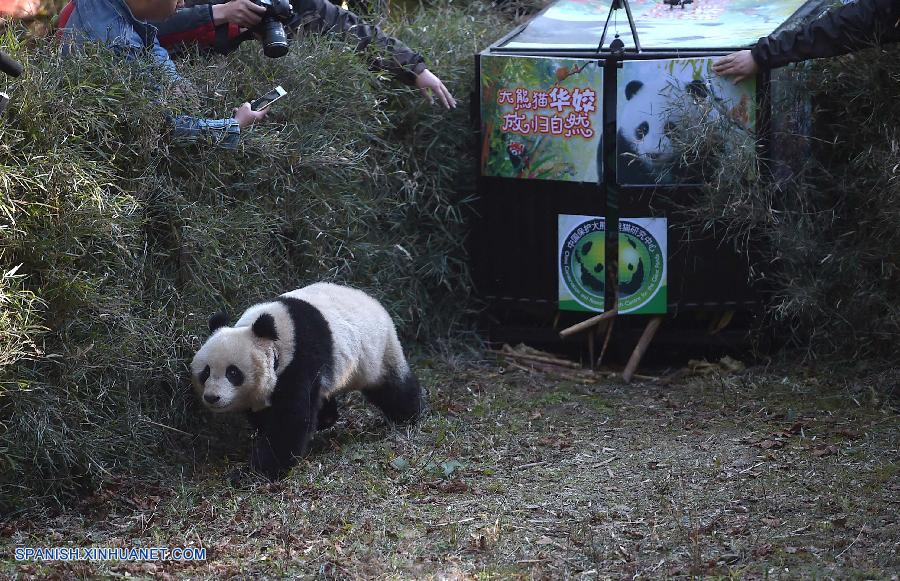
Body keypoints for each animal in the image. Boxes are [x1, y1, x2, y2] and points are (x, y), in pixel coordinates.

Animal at [190, 282, 422, 480]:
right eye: (205, 372)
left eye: (233, 372)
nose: (212, 397)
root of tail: (375, 302)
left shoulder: (300, 359)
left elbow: (290, 419)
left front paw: (256, 472)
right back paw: (326, 417)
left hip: (377, 352)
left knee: (392, 388)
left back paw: (409, 415)